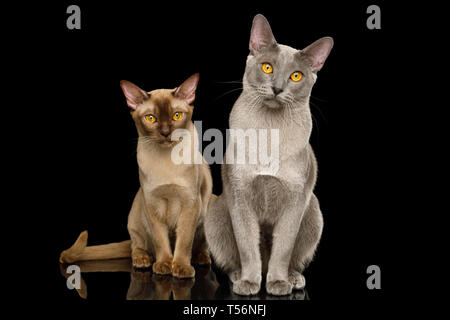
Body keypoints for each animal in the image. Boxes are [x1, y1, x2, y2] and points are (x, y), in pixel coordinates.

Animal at [59, 74, 213, 278]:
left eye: (176, 116)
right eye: (151, 118)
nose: (165, 133)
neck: (167, 161)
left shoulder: (190, 203)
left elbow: (184, 241)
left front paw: (180, 267)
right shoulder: (152, 204)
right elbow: (160, 240)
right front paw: (164, 265)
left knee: (200, 246)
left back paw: (200, 259)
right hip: (137, 208)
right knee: (136, 246)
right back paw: (143, 261)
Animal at [205, 14, 334, 296]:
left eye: (296, 76)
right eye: (267, 68)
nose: (276, 88)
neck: (268, 134)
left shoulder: (295, 200)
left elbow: (283, 249)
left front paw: (277, 284)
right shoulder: (240, 197)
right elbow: (247, 247)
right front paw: (249, 283)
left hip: (313, 210)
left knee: (291, 259)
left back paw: (293, 279)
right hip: (216, 212)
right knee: (236, 259)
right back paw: (239, 277)